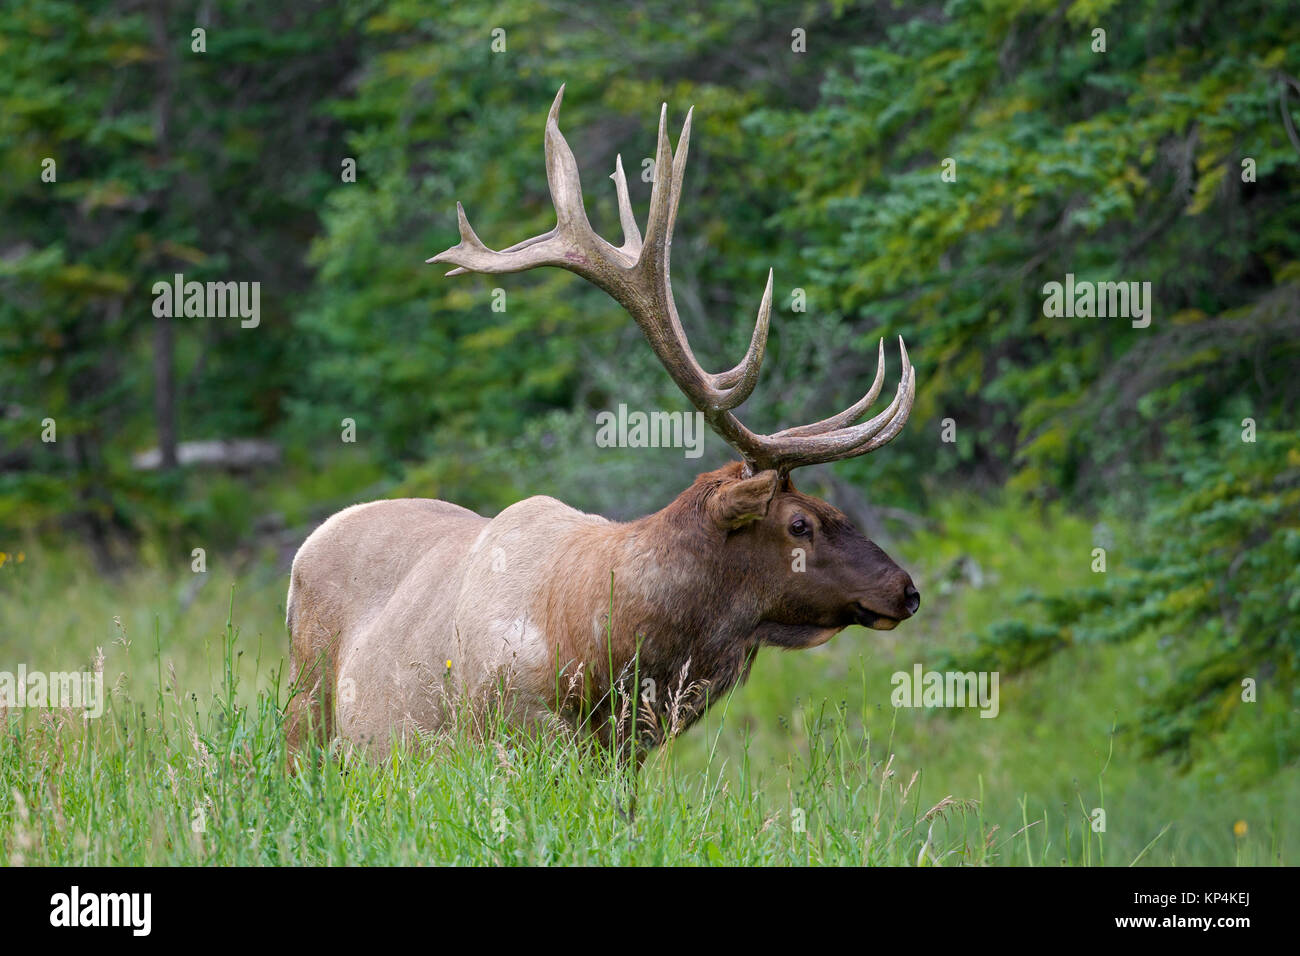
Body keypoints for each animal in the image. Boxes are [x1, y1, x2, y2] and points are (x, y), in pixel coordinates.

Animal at [287, 87, 915, 764]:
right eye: (799, 523)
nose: (907, 589)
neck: (602, 653)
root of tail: (311, 540)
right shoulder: (508, 737)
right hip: (304, 708)